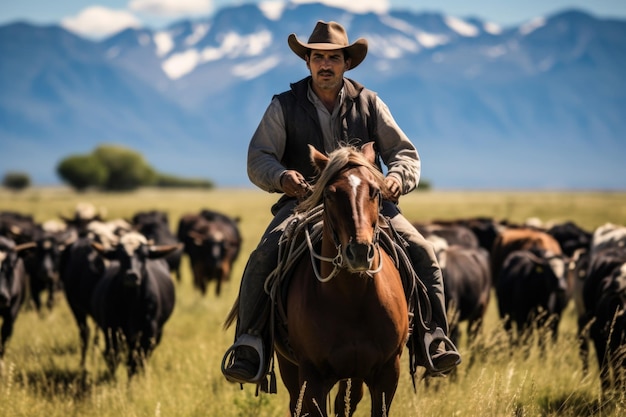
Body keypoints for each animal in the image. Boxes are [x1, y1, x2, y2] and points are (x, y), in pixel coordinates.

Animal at [274, 142, 410, 412]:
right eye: (330, 194)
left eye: (375, 191)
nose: (359, 252)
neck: (352, 299)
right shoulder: (312, 376)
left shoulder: (388, 373)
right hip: (290, 369)